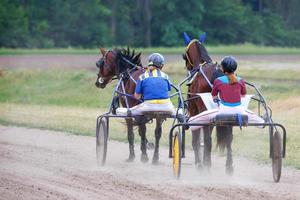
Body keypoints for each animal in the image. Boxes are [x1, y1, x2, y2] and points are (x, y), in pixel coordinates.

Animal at [182, 32, 233, 173]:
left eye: (184, 56)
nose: (188, 68)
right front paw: (204, 160)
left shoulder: (195, 111)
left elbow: (197, 139)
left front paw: (200, 163)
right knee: (228, 138)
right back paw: (229, 166)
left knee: (207, 139)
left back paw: (207, 166)